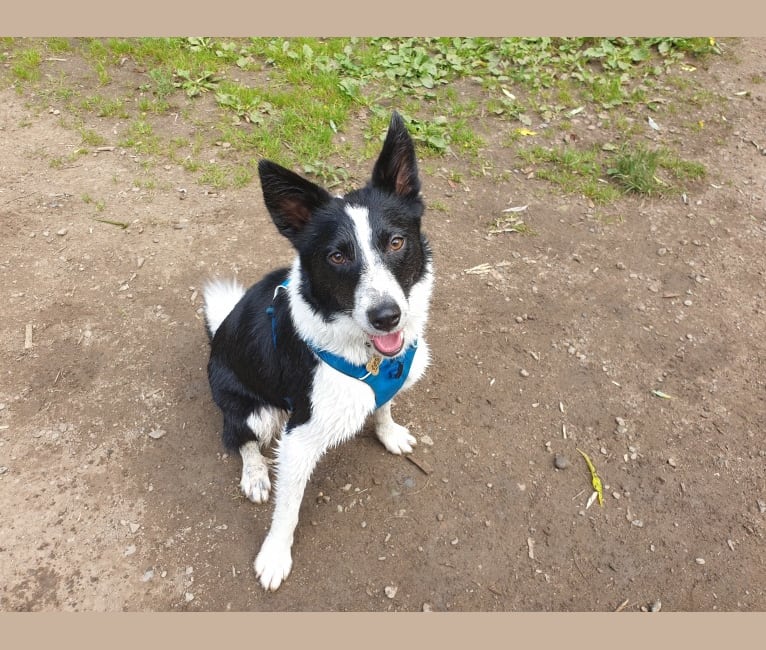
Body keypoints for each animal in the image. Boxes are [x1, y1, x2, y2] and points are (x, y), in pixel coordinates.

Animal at [201, 114, 436, 588]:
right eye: (337, 256)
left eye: (396, 242)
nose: (387, 317)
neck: (367, 354)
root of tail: (216, 339)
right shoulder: (299, 437)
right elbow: (287, 509)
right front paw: (275, 555)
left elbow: (384, 407)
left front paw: (389, 433)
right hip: (255, 409)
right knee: (238, 437)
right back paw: (255, 475)